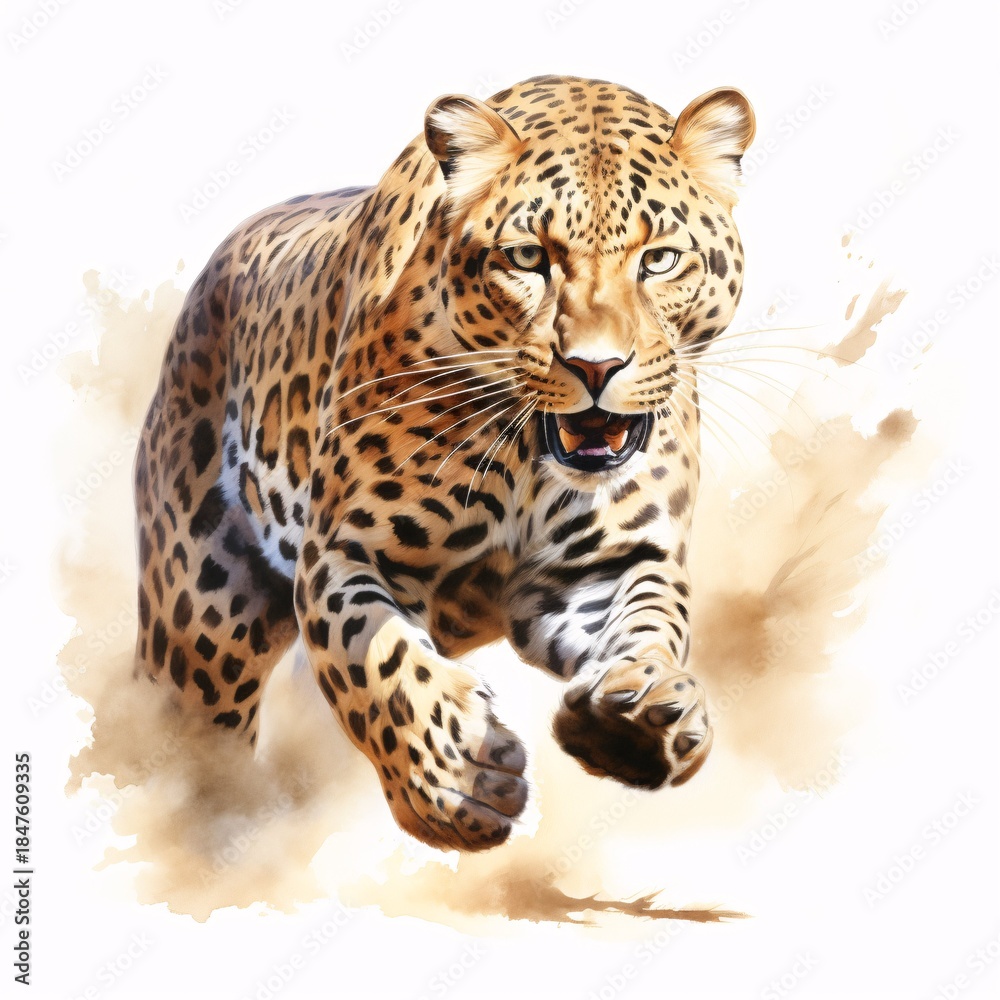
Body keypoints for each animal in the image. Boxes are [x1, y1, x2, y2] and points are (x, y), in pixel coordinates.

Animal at [132, 75, 755, 851]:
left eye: (660, 260)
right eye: (528, 259)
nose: (596, 366)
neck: (527, 457)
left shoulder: (604, 566)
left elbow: (650, 623)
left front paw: (639, 716)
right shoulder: (344, 553)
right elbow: (377, 663)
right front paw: (459, 780)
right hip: (201, 625)